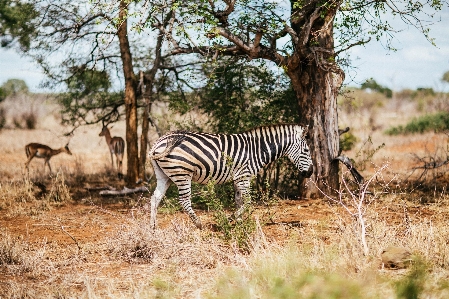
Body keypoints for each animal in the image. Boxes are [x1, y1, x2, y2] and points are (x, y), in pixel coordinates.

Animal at [147, 124, 312, 230]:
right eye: (306, 150)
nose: (310, 173)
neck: (258, 149)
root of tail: (159, 141)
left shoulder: (238, 179)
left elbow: (239, 201)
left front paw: (239, 223)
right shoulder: (244, 177)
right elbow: (248, 202)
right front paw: (229, 219)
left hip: (165, 176)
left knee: (155, 198)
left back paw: (153, 227)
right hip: (182, 174)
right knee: (184, 201)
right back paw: (199, 224)